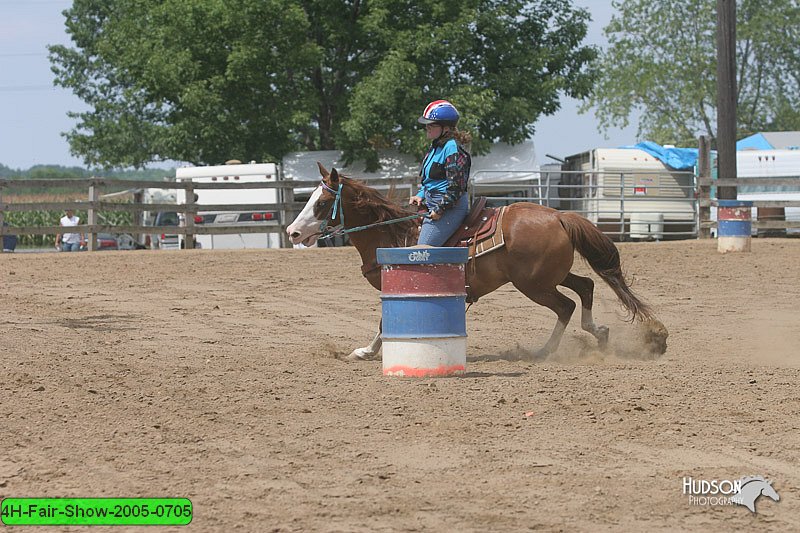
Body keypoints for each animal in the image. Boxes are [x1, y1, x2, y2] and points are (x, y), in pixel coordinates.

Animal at [288, 162, 664, 360]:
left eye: (321, 203)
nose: (292, 232)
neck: (392, 234)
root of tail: (559, 216)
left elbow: (383, 323)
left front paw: (366, 352)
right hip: (551, 275)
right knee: (585, 287)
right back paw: (600, 334)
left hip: (533, 284)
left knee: (566, 306)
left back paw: (543, 351)